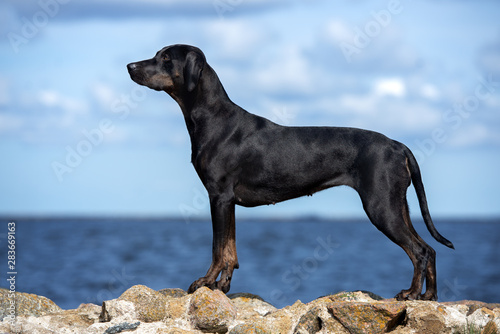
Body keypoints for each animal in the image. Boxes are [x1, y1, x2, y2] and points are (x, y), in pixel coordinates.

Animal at [127, 43, 456, 300]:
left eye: (166, 58)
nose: (130, 66)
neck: (212, 117)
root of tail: (399, 146)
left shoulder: (218, 196)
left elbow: (218, 247)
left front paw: (206, 282)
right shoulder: (228, 201)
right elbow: (230, 249)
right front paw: (223, 286)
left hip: (381, 205)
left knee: (419, 250)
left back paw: (411, 294)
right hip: (397, 204)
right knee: (429, 249)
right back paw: (428, 296)